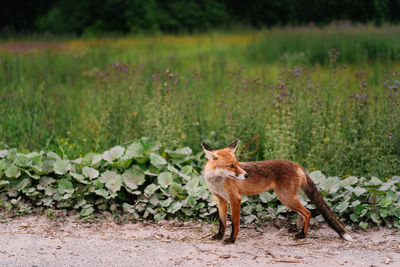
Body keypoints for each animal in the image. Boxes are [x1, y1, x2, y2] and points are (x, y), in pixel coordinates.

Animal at [202, 140, 352, 245]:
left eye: (237, 164)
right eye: (231, 166)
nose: (246, 175)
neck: (217, 181)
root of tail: (296, 164)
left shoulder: (235, 199)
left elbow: (234, 224)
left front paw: (232, 239)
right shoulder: (221, 200)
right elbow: (222, 222)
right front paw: (219, 236)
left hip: (285, 198)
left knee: (308, 212)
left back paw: (302, 235)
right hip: (289, 197)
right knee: (304, 210)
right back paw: (297, 229)